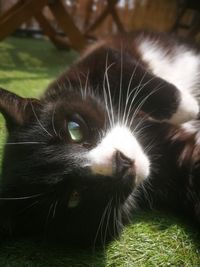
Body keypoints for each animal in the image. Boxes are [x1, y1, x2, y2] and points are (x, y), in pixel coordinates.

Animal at [0, 31, 199, 247]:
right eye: (74, 196)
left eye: (74, 130)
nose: (121, 162)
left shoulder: (96, 59)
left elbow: (119, 66)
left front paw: (191, 108)